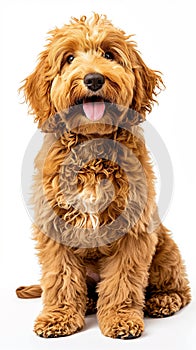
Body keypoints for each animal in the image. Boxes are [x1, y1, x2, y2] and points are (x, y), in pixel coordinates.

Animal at [16, 14, 190, 340]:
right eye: (69, 58)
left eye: (109, 54)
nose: (94, 79)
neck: (93, 147)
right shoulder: (55, 225)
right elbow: (60, 277)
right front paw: (59, 316)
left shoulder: (133, 229)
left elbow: (123, 280)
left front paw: (121, 318)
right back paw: (86, 304)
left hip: (165, 247)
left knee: (179, 286)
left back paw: (162, 300)